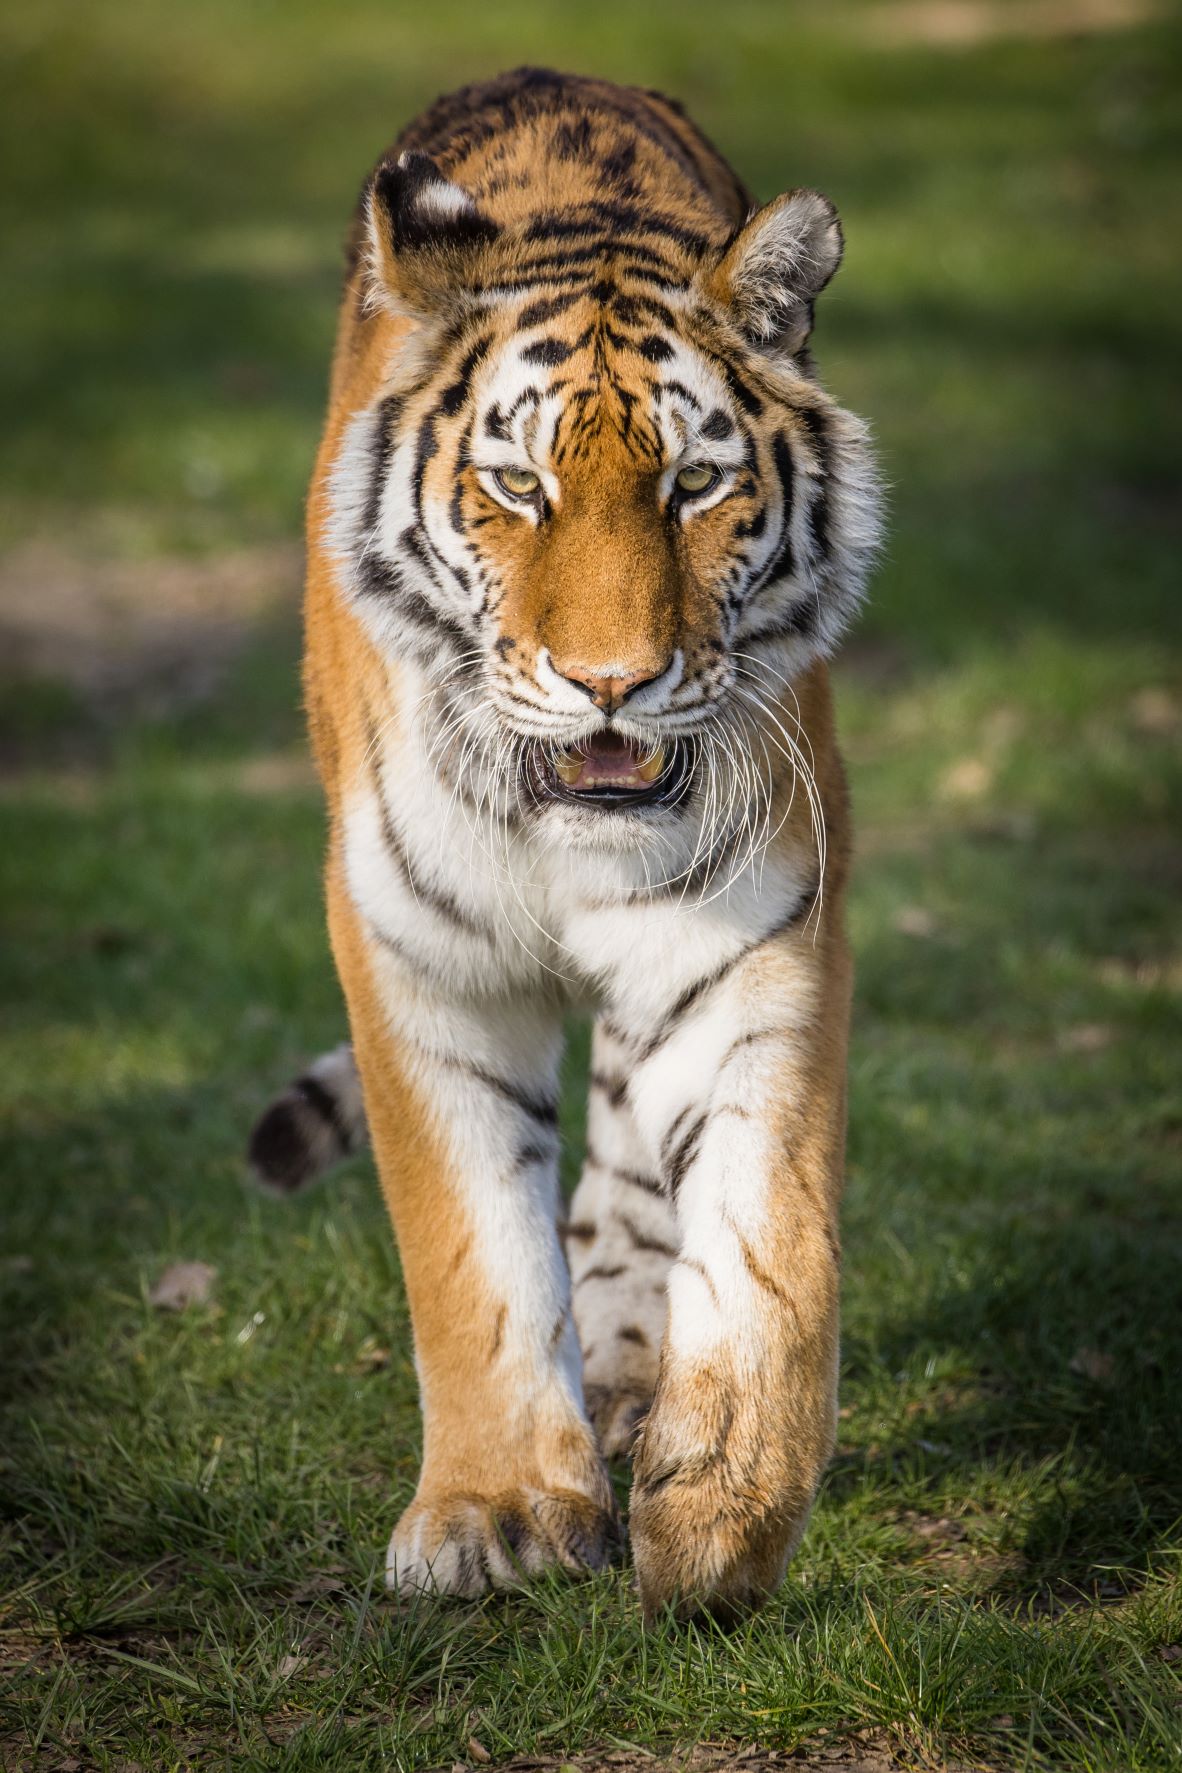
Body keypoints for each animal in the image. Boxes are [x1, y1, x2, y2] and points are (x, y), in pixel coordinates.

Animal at [249, 69, 878, 1624]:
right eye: (519, 488)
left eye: (692, 487)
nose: (611, 681)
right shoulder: (417, 953)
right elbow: (467, 1243)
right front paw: (495, 1514)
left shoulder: (759, 929)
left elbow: (766, 1235)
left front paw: (722, 1507)